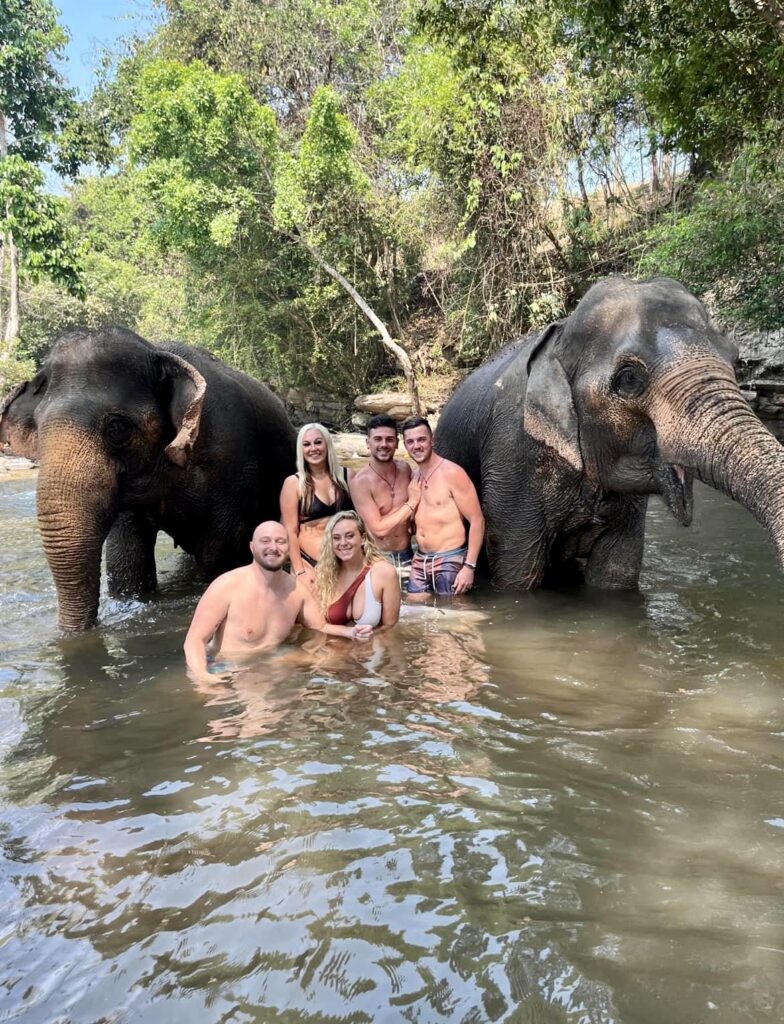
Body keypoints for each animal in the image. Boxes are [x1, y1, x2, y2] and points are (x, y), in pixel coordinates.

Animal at [0, 327, 294, 630]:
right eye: (39, 428)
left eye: (117, 427)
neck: (156, 350)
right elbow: (126, 560)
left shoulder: (232, 467)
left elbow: (220, 556)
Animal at [436, 276, 784, 589]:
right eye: (629, 379)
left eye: (735, 360)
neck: (561, 333)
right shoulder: (513, 459)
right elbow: (518, 574)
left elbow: (616, 575)